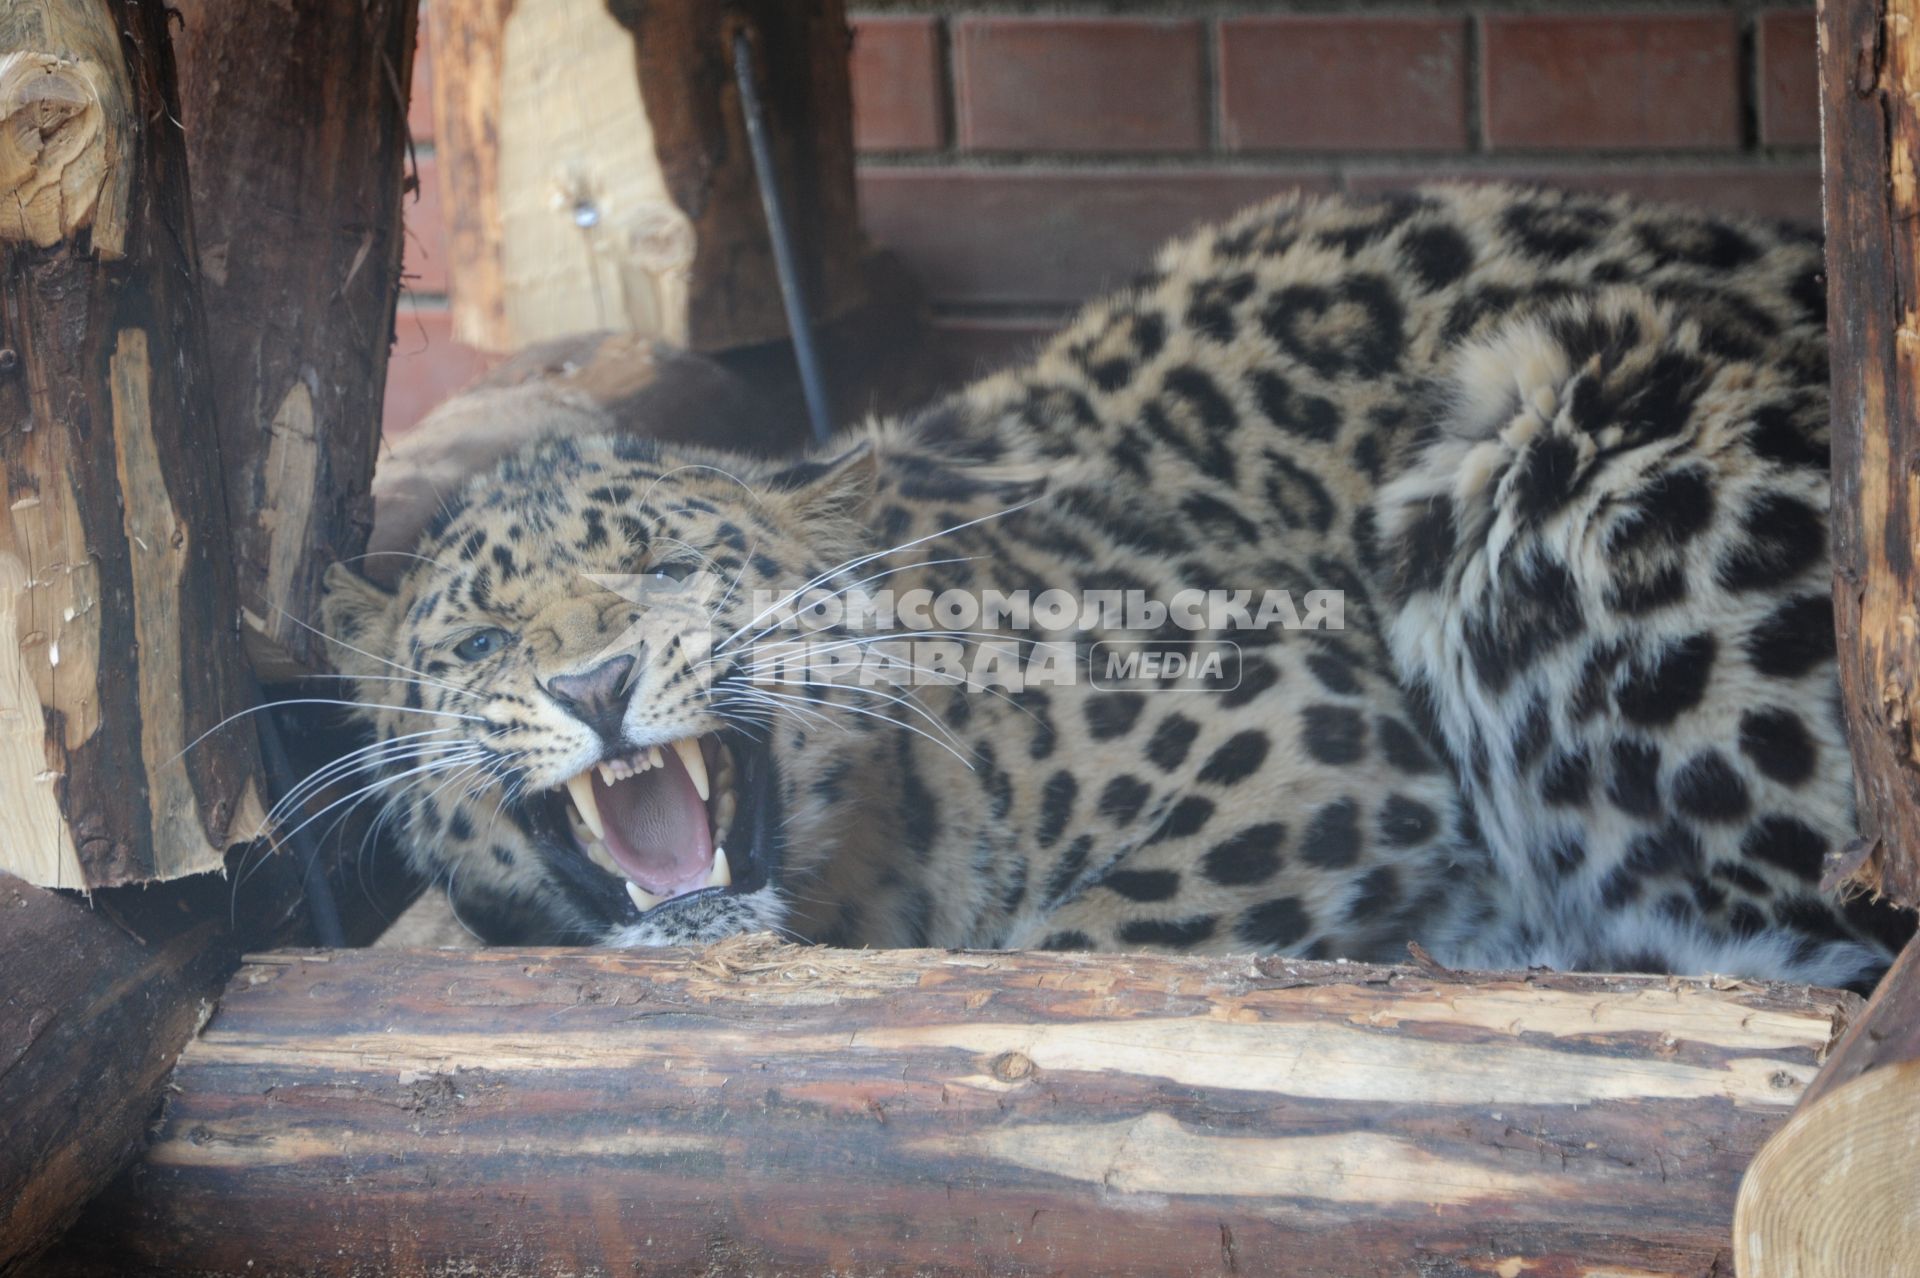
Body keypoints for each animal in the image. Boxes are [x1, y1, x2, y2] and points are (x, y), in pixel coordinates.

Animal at [322, 184, 1912, 990]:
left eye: (666, 567)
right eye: (480, 639)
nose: (592, 685)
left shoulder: (1295, 727)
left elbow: (1063, 947)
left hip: (1547, 423)